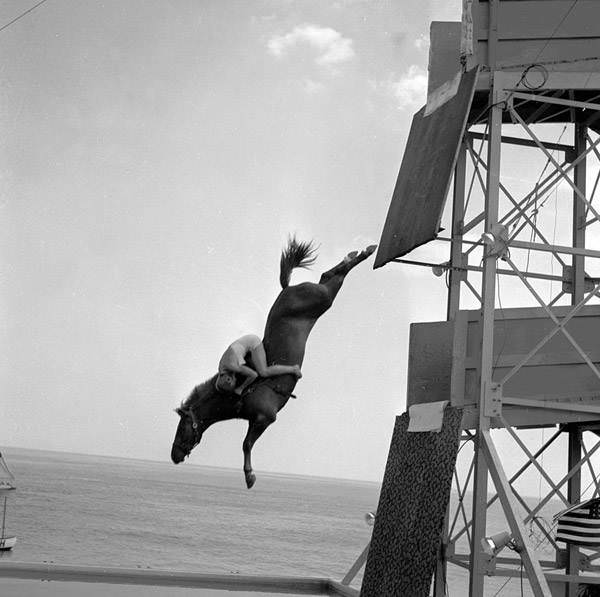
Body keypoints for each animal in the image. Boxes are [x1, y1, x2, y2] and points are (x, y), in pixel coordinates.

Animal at [170, 235, 376, 486]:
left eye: (182, 428)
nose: (174, 455)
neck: (241, 392)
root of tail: (288, 289)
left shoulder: (264, 418)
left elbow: (246, 444)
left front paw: (249, 475)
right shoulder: (255, 420)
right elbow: (246, 443)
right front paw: (249, 474)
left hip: (322, 299)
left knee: (333, 279)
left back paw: (364, 252)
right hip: (320, 298)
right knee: (327, 276)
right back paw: (355, 254)